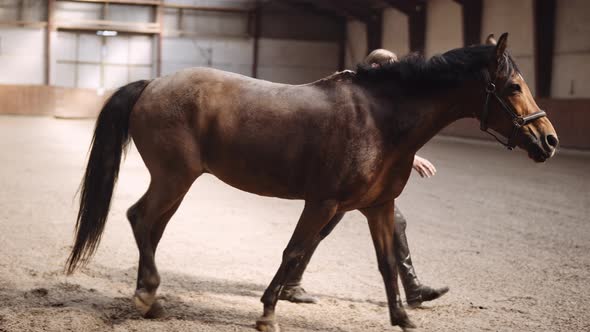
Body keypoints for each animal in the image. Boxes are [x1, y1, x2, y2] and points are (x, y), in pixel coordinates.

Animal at [66, 33, 560, 330]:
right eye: (513, 87)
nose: (549, 140)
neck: (381, 120)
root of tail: (151, 85)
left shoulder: (377, 207)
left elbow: (386, 262)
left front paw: (404, 316)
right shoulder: (321, 203)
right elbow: (294, 250)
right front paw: (268, 312)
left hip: (177, 184)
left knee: (151, 227)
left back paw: (149, 296)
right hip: (174, 178)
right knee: (139, 218)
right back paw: (148, 295)